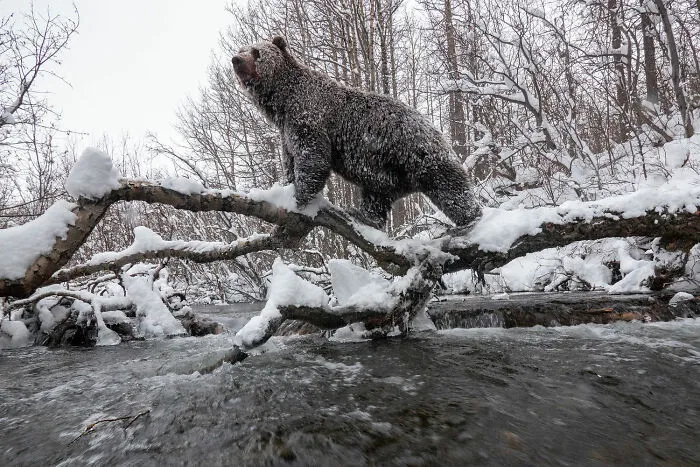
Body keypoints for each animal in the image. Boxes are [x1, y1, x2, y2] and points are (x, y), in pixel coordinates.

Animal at [231, 36, 481, 229]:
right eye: (241, 49)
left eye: (256, 52)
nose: (236, 60)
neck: (282, 102)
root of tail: (439, 132)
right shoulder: (286, 131)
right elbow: (291, 159)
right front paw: (289, 185)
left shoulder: (310, 118)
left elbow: (313, 157)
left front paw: (299, 198)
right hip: (385, 173)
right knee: (376, 198)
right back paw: (363, 216)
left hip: (418, 154)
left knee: (452, 190)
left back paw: (472, 219)